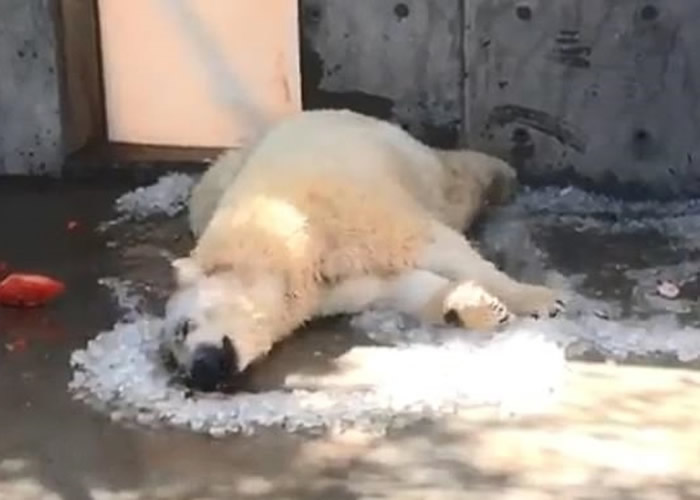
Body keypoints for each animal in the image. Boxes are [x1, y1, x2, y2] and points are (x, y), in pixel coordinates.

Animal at [162, 109, 564, 392]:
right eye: (174, 357)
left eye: (184, 327)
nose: (200, 371)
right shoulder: (327, 289)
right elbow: (395, 287)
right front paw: (472, 307)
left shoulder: (354, 212)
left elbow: (438, 247)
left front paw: (538, 299)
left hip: (407, 159)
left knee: (455, 186)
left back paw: (500, 178)